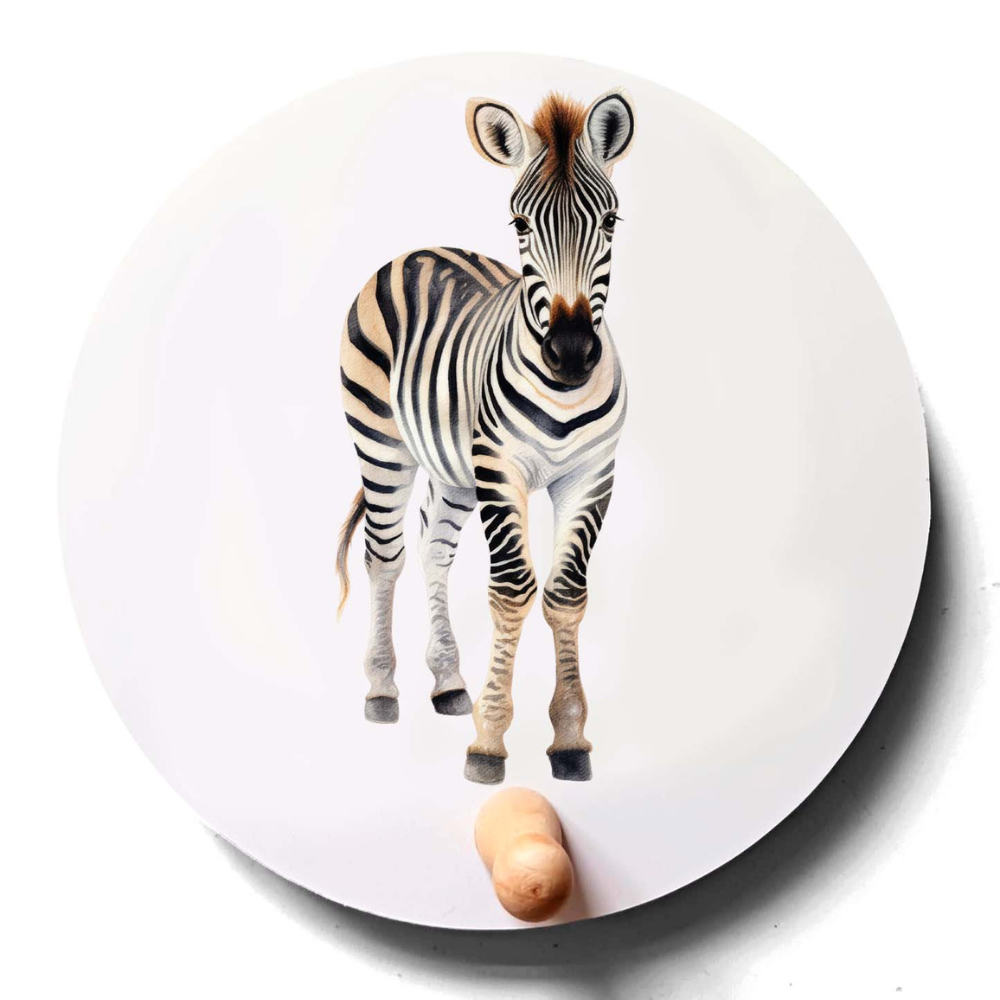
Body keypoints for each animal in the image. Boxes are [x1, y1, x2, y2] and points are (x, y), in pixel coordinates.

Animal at [337, 88, 635, 784]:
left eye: (610, 222)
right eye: (520, 226)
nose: (572, 353)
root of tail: (418, 250)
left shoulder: (592, 475)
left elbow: (565, 594)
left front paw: (570, 738)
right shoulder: (502, 471)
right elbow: (511, 592)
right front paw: (490, 740)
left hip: (453, 470)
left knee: (433, 552)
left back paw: (448, 682)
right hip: (381, 442)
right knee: (384, 557)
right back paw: (382, 689)